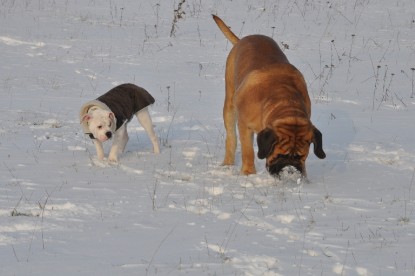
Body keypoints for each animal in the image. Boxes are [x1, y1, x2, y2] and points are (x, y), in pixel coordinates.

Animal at [213, 15, 326, 178]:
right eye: (279, 155)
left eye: (301, 157)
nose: (290, 169)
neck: (284, 101)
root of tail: (243, 39)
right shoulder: (244, 125)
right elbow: (248, 151)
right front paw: (248, 173)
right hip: (229, 103)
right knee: (231, 137)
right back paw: (228, 163)